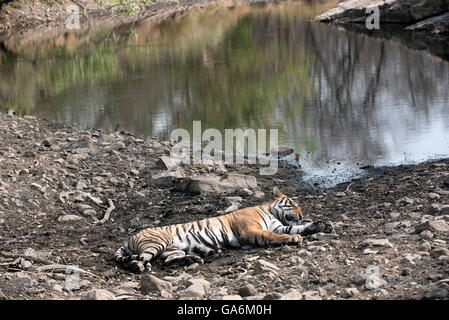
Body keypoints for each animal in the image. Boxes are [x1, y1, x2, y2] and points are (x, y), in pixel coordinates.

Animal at [114, 185, 332, 272]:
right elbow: (273, 235)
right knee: (143, 259)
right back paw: (138, 266)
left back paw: (193, 259)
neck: (271, 212)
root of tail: (128, 239)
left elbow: (297, 228)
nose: (302, 214)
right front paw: (293, 239)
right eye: (293, 204)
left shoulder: (280, 226)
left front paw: (321, 225)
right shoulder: (251, 230)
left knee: (167, 260)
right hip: (157, 242)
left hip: (172, 249)